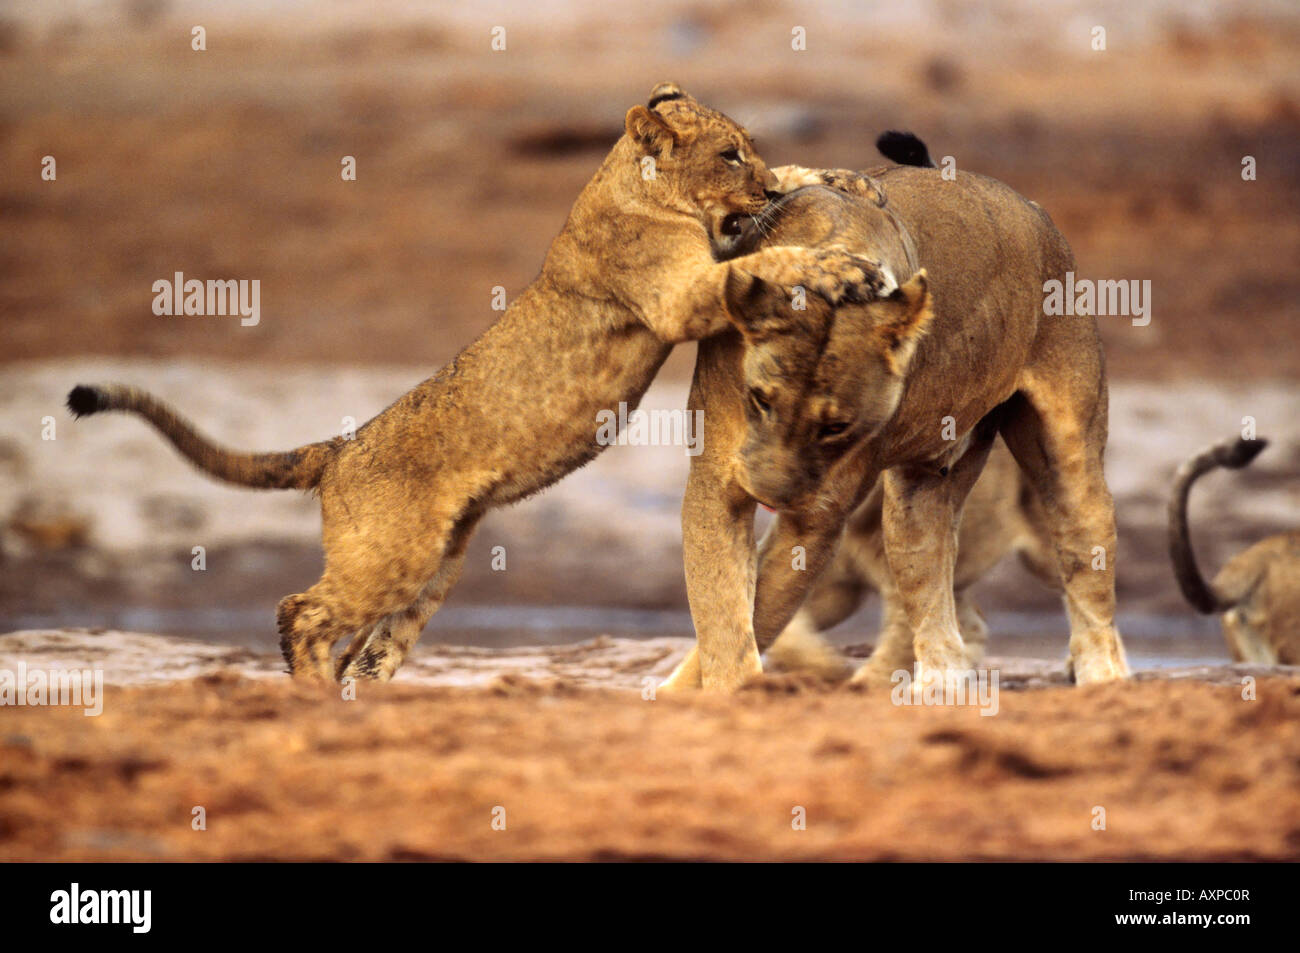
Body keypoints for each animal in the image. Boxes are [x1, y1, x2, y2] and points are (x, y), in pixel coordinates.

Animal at [67, 83, 883, 682]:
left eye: (751, 149)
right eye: (730, 154)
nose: (763, 182)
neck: (627, 182)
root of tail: (338, 449)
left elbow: (778, 216)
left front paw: (834, 178)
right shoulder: (677, 298)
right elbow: (766, 259)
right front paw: (841, 265)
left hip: (436, 565)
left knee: (369, 649)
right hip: (391, 556)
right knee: (300, 613)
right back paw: (313, 699)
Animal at [663, 146, 1130, 692]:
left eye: (835, 428)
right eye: (759, 399)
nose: (769, 495)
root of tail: (1034, 209)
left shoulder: (817, 513)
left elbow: (757, 612)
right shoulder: (717, 478)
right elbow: (724, 608)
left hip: (1070, 451)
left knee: (1084, 552)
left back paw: (1102, 674)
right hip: (923, 487)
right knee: (931, 583)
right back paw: (939, 686)